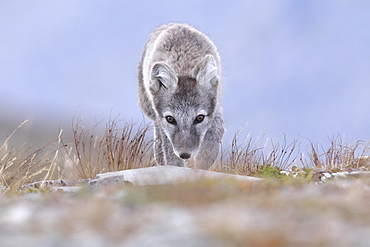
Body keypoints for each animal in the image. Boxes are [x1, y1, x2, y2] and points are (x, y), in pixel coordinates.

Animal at [138, 23, 225, 170]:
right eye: (170, 119)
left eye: (199, 118)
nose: (185, 154)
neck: (183, 67)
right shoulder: (165, 129)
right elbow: (173, 160)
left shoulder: (216, 114)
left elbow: (208, 151)